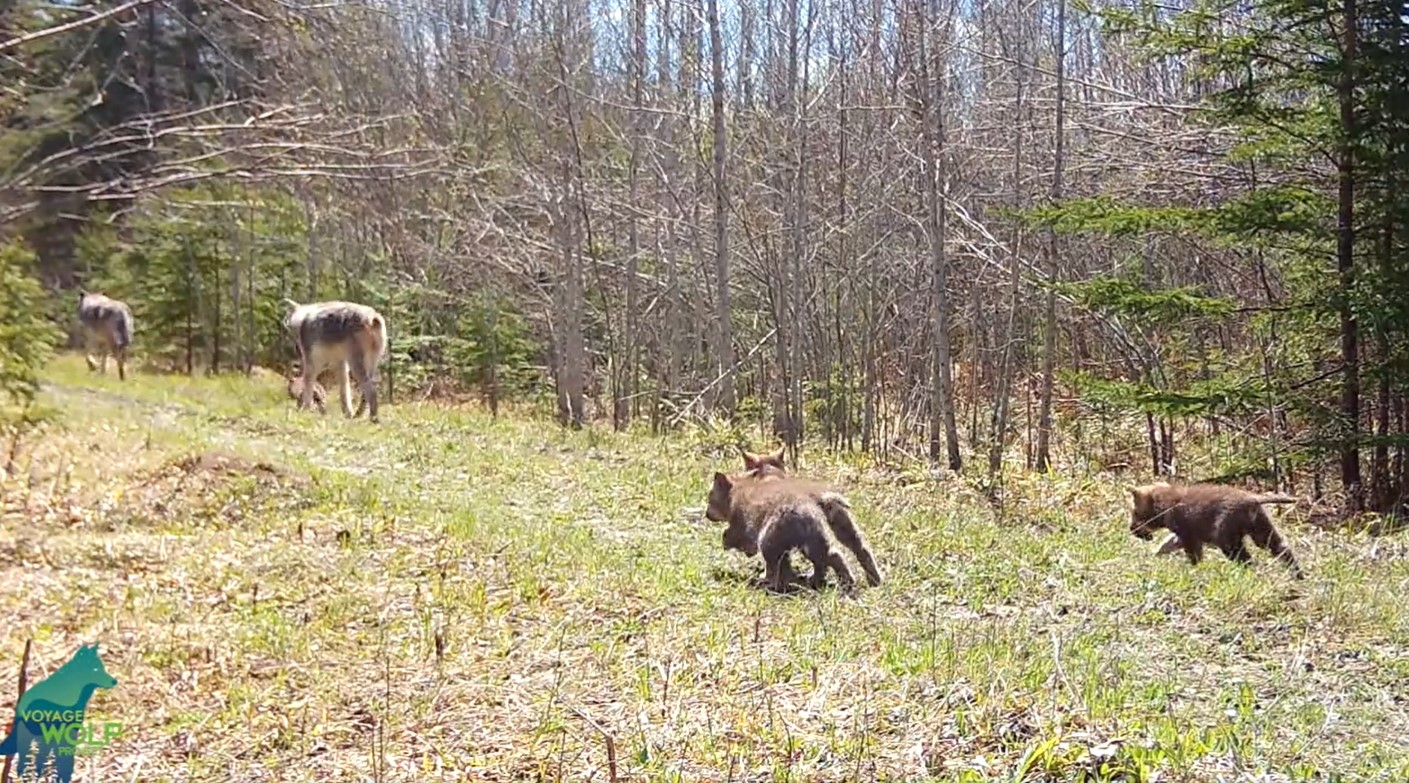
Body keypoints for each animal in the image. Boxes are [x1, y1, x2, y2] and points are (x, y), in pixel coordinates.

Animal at [706, 468, 857, 593]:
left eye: (710, 499)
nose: (706, 514)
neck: (735, 492)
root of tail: (806, 511)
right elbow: (785, 562)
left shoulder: (742, 524)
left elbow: (733, 535)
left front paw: (728, 544)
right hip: (811, 540)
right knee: (830, 555)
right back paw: (843, 580)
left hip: (770, 537)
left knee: (773, 562)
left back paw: (766, 582)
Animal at [739, 446, 884, 586]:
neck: (770, 472)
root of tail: (820, 499)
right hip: (842, 525)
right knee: (861, 549)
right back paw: (873, 580)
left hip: (794, 539)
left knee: (829, 557)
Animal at [1128, 481, 1304, 579]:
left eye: (1134, 512)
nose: (1132, 530)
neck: (1165, 504)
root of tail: (1252, 499)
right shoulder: (1184, 535)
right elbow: (1165, 545)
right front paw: (1153, 555)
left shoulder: (1188, 536)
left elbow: (1194, 557)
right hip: (1261, 530)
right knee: (1282, 549)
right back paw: (1298, 575)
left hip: (1227, 538)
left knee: (1246, 559)